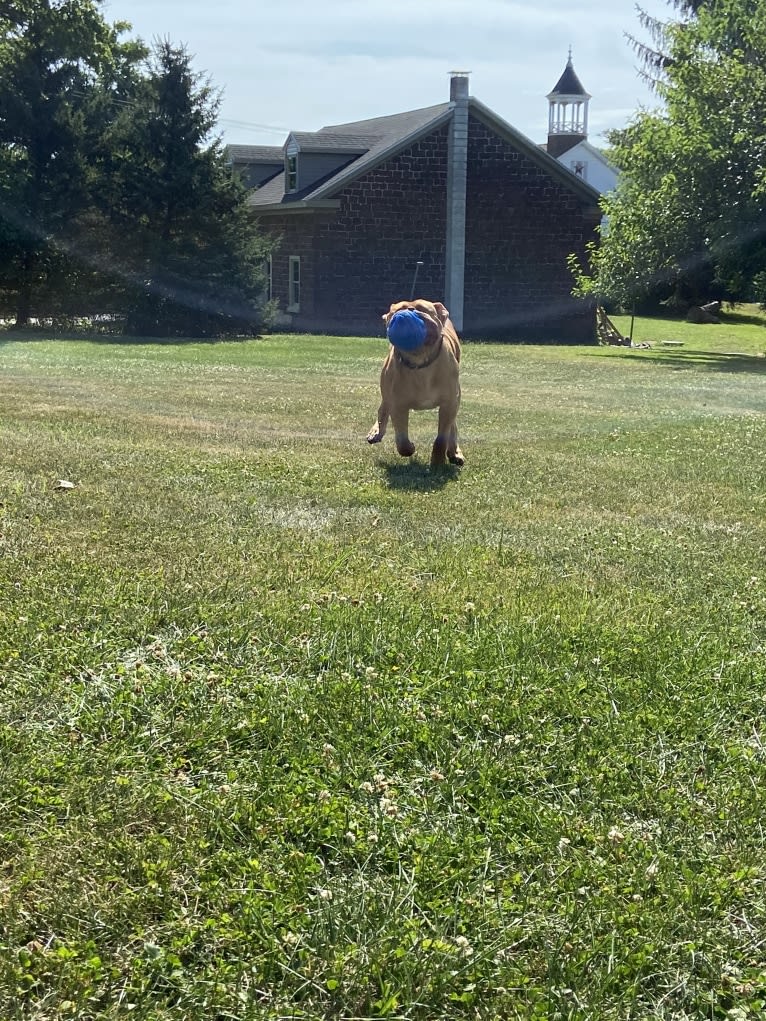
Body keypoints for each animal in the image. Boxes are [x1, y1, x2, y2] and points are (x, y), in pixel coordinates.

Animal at [367, 298, 465, 467]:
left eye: (421, 308)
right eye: (398, 309)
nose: (408, 311)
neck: (419, 362)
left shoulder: (449, 402)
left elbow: (442, 438)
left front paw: (437, 462)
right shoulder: (397, 403)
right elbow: (402, 440)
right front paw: (410, 448)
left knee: (452, 426)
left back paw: (454, 452)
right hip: (386, 388)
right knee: (383, 408)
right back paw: (376, 432)